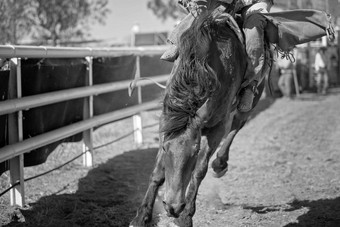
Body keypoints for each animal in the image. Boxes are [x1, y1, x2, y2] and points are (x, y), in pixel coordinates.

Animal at [129, 3, 268, 227]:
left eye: (195, 152)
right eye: (165, 149)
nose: (173, 207)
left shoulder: (217, 127)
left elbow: (199, 171)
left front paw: (186, 216)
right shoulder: (166, 124)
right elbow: (158, 172)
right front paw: (142, 216)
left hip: (248, 104)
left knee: (237, 126)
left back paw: (220, 163)